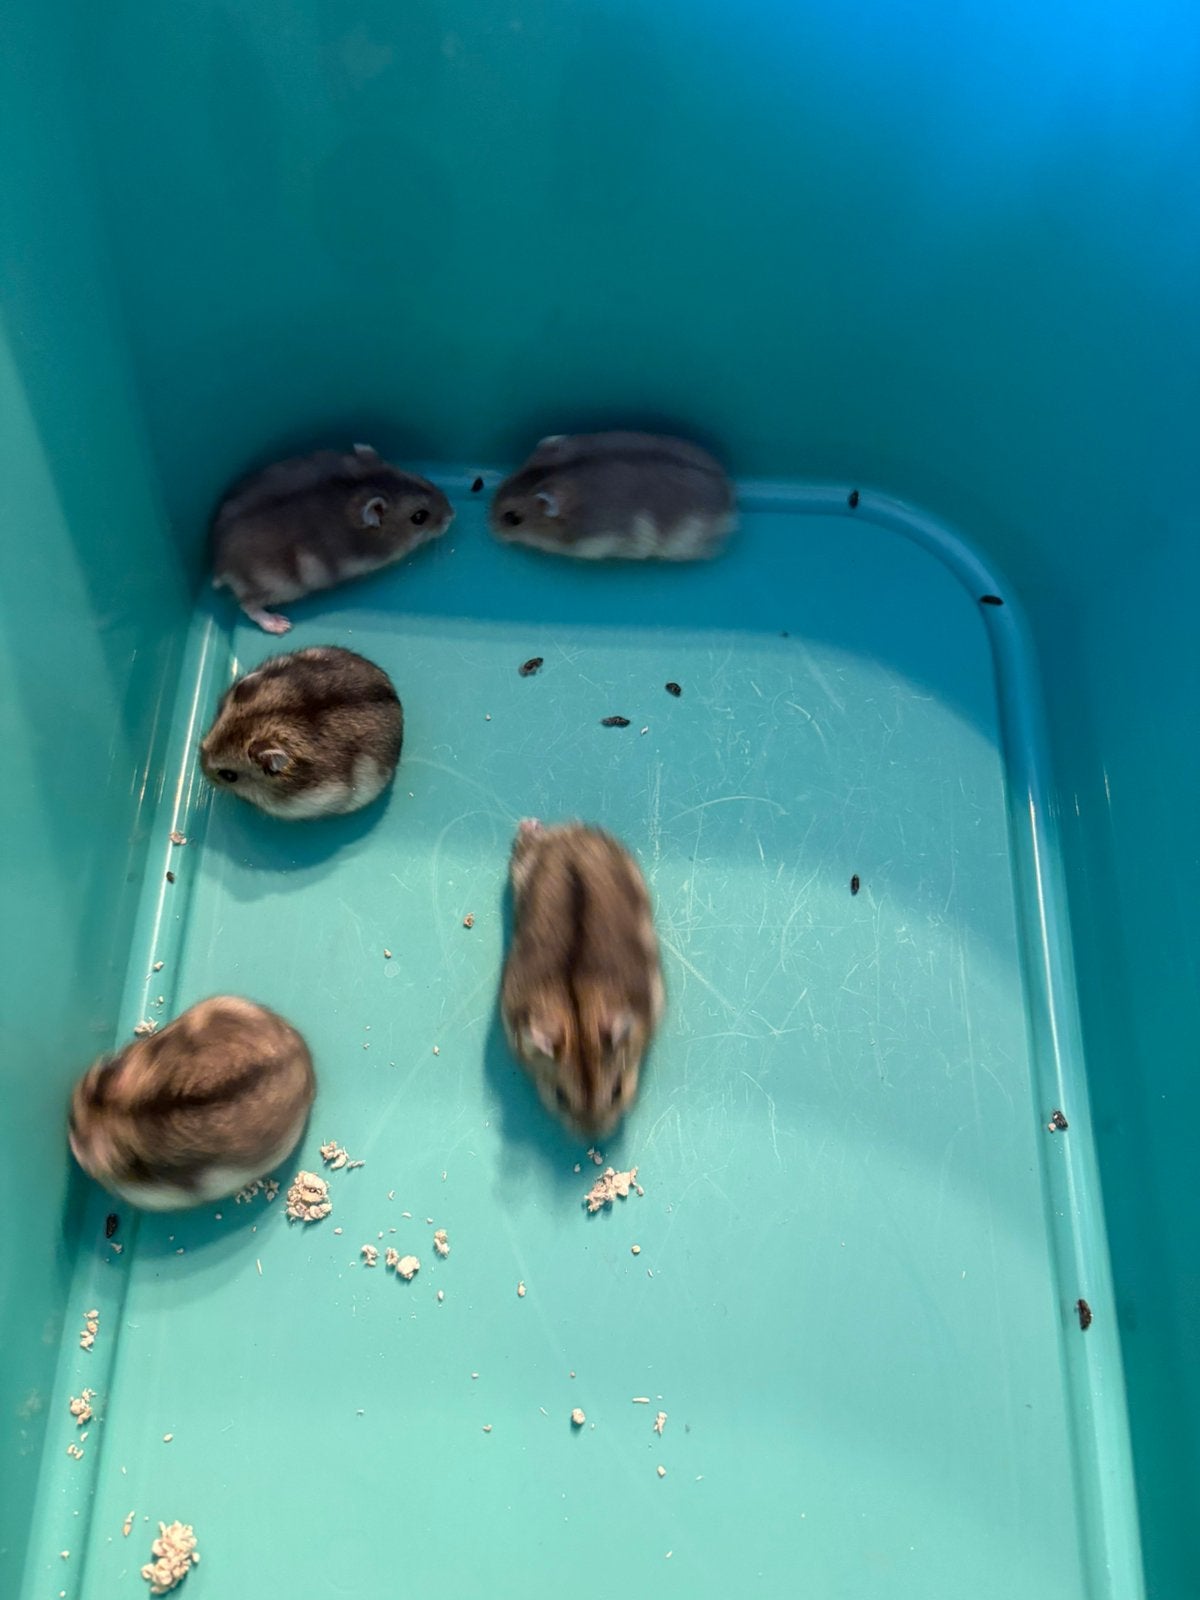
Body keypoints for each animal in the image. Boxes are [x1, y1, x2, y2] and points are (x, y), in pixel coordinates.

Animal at [212, 444, 454, 633]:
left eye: (417, 476)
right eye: (419, 517)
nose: (453, 514)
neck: (358, 491)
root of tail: (220, 564)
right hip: (276, 586)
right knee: (248, 605)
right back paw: (280, 624)